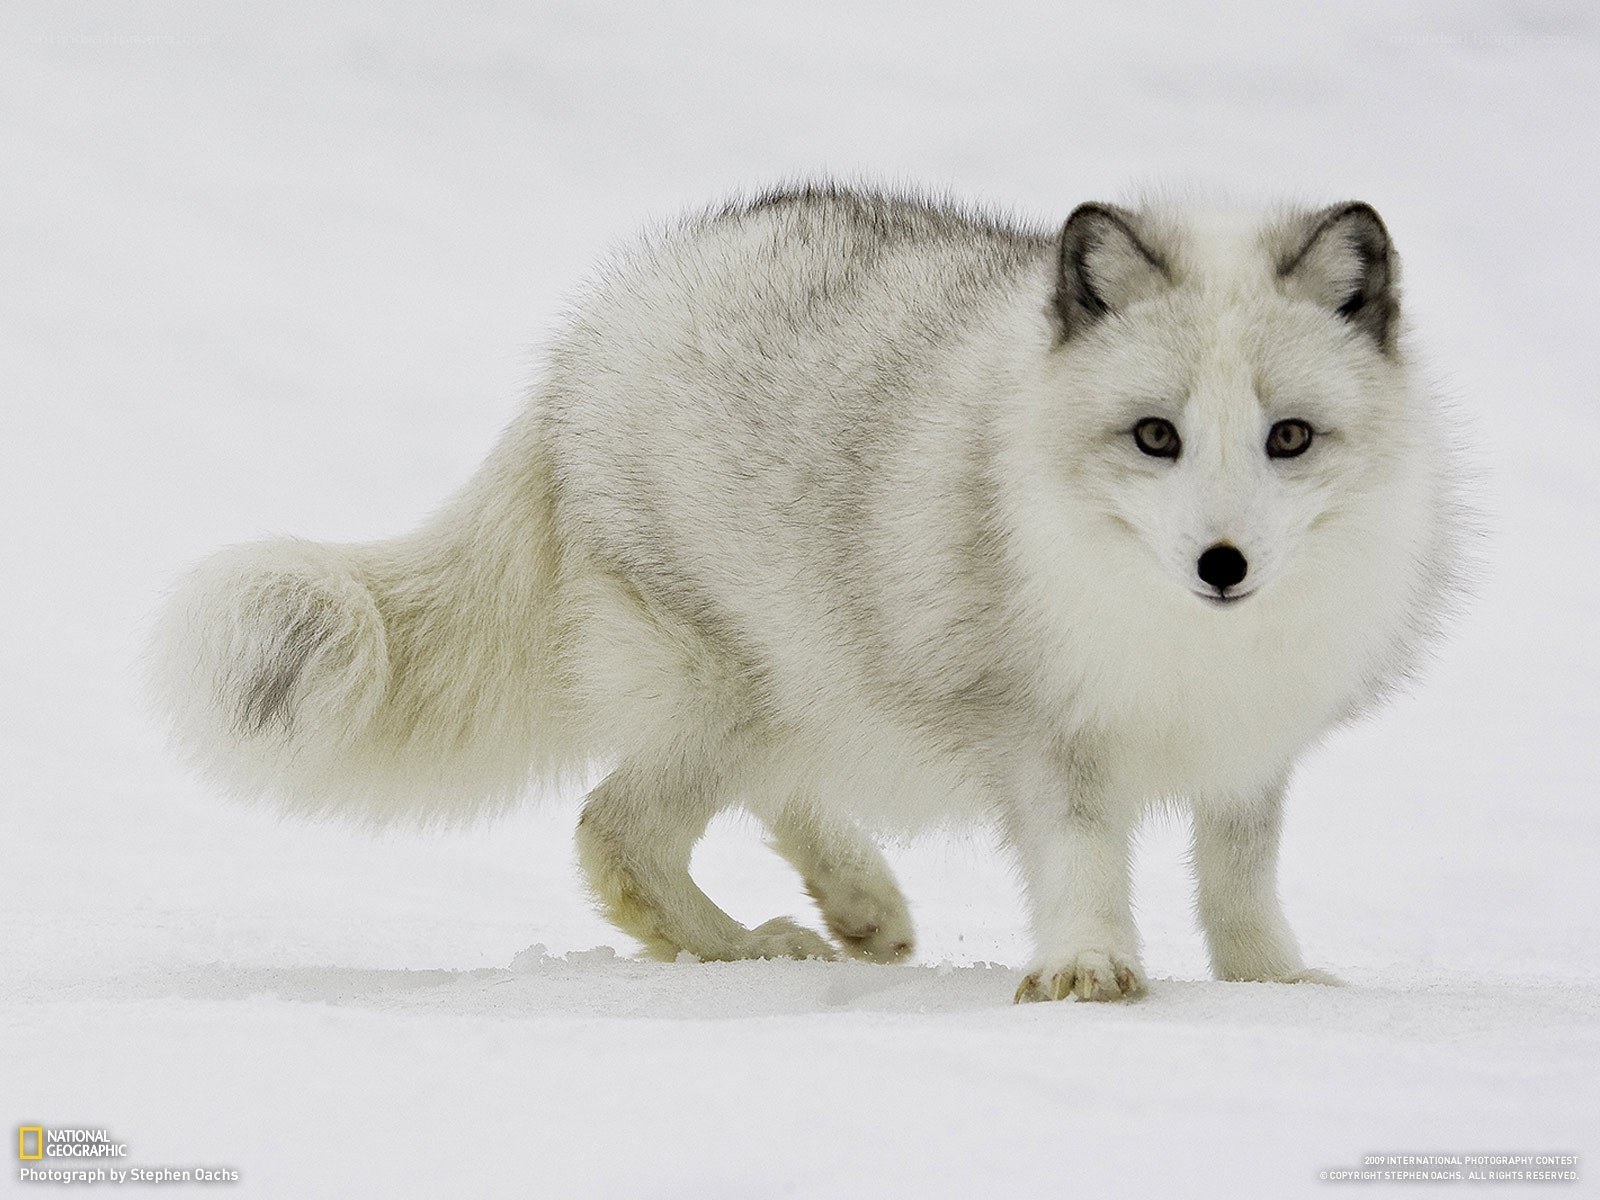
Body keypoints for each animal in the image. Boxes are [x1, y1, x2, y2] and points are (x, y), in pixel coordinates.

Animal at [151, 184, 1462, 1002]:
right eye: (1155, 436)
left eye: (1288, 437)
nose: (1221, 566)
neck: (1183, 642)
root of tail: (591, 335)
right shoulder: (1046, 735)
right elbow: (1086, 862)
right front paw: (1089, 971)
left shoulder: (1250, 749)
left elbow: (1240, 882)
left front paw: (1273, 985)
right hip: (731, 689)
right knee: (612, 831)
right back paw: (749, 953)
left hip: (803, 685)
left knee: (763, 797)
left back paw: (859, 906)